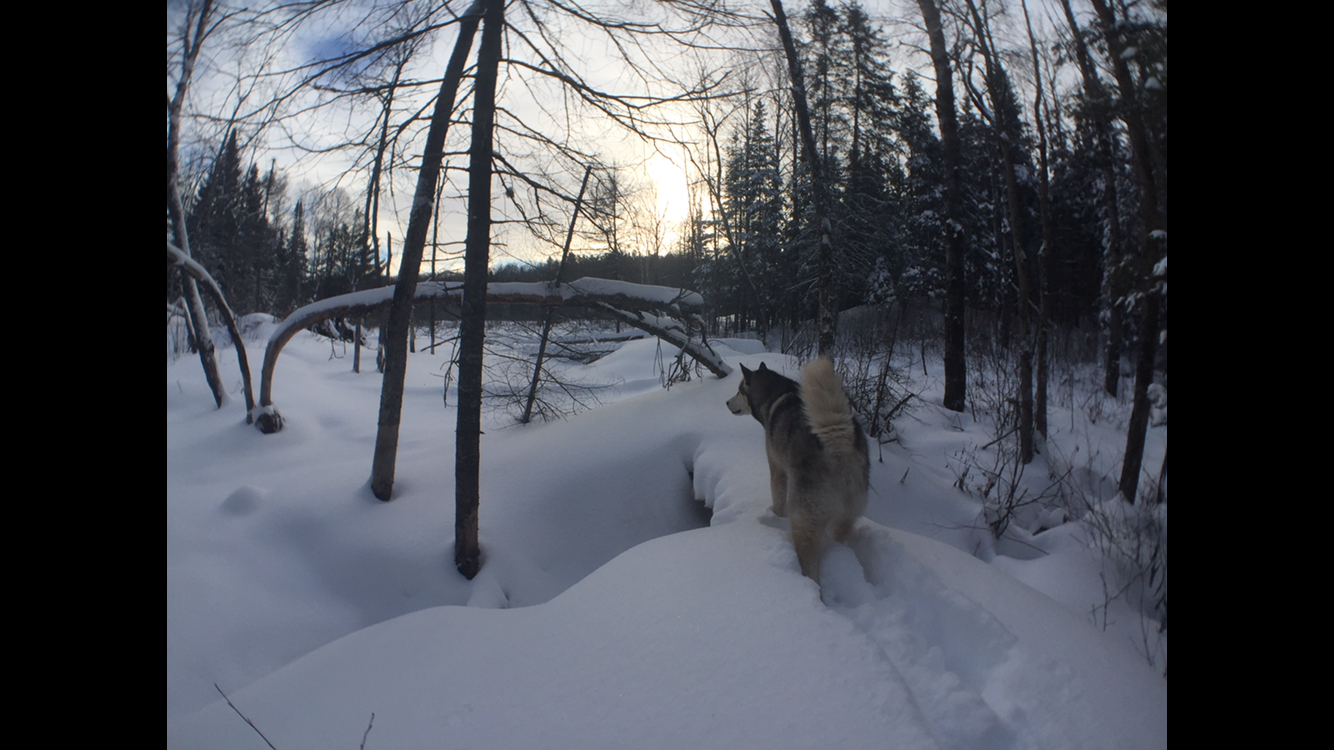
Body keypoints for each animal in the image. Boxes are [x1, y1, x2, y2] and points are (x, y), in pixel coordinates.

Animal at [725, 360, 869, 581]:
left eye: (740, 390)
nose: (726, 402)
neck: (774, 395)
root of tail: (838, 443)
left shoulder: (777, 468)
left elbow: (777, 497)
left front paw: (775, 516)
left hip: (804, 517)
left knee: (809, 562)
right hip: (847, 514)